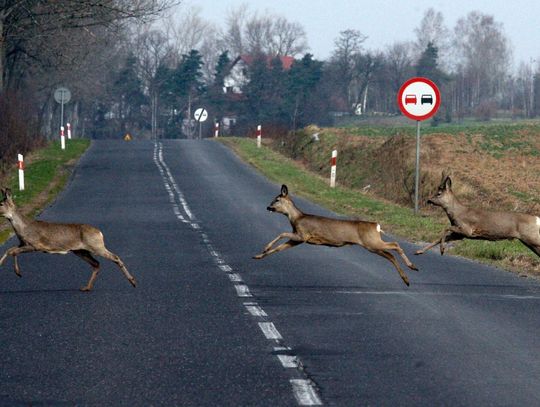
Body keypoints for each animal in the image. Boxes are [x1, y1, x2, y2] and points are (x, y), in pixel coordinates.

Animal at [0, 190, 137, 292]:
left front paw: (18, 273)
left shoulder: (35, 245)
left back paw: (133, 281)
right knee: (96, 263)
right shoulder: (22, 243)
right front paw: (3, 265)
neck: (23, 228)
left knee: (115, 257)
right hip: (80, 251)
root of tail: (99, 232)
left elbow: (13, 251)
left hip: (96, 246)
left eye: (1, 204)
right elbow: (9, 250)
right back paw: (87, 287)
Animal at [253, 185, 418, 286]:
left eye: (277, 199)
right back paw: (407, 279)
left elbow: (282, 233)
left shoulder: (303, 235)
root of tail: (376, 226)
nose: (268, 207)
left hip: (371, 242)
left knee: (395, 245)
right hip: (372, 244)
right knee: (390, 255)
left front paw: (264, 248)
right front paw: (259, 255)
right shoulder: (298, 239)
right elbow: (279, 248)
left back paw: (412, 266)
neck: (296, 218)